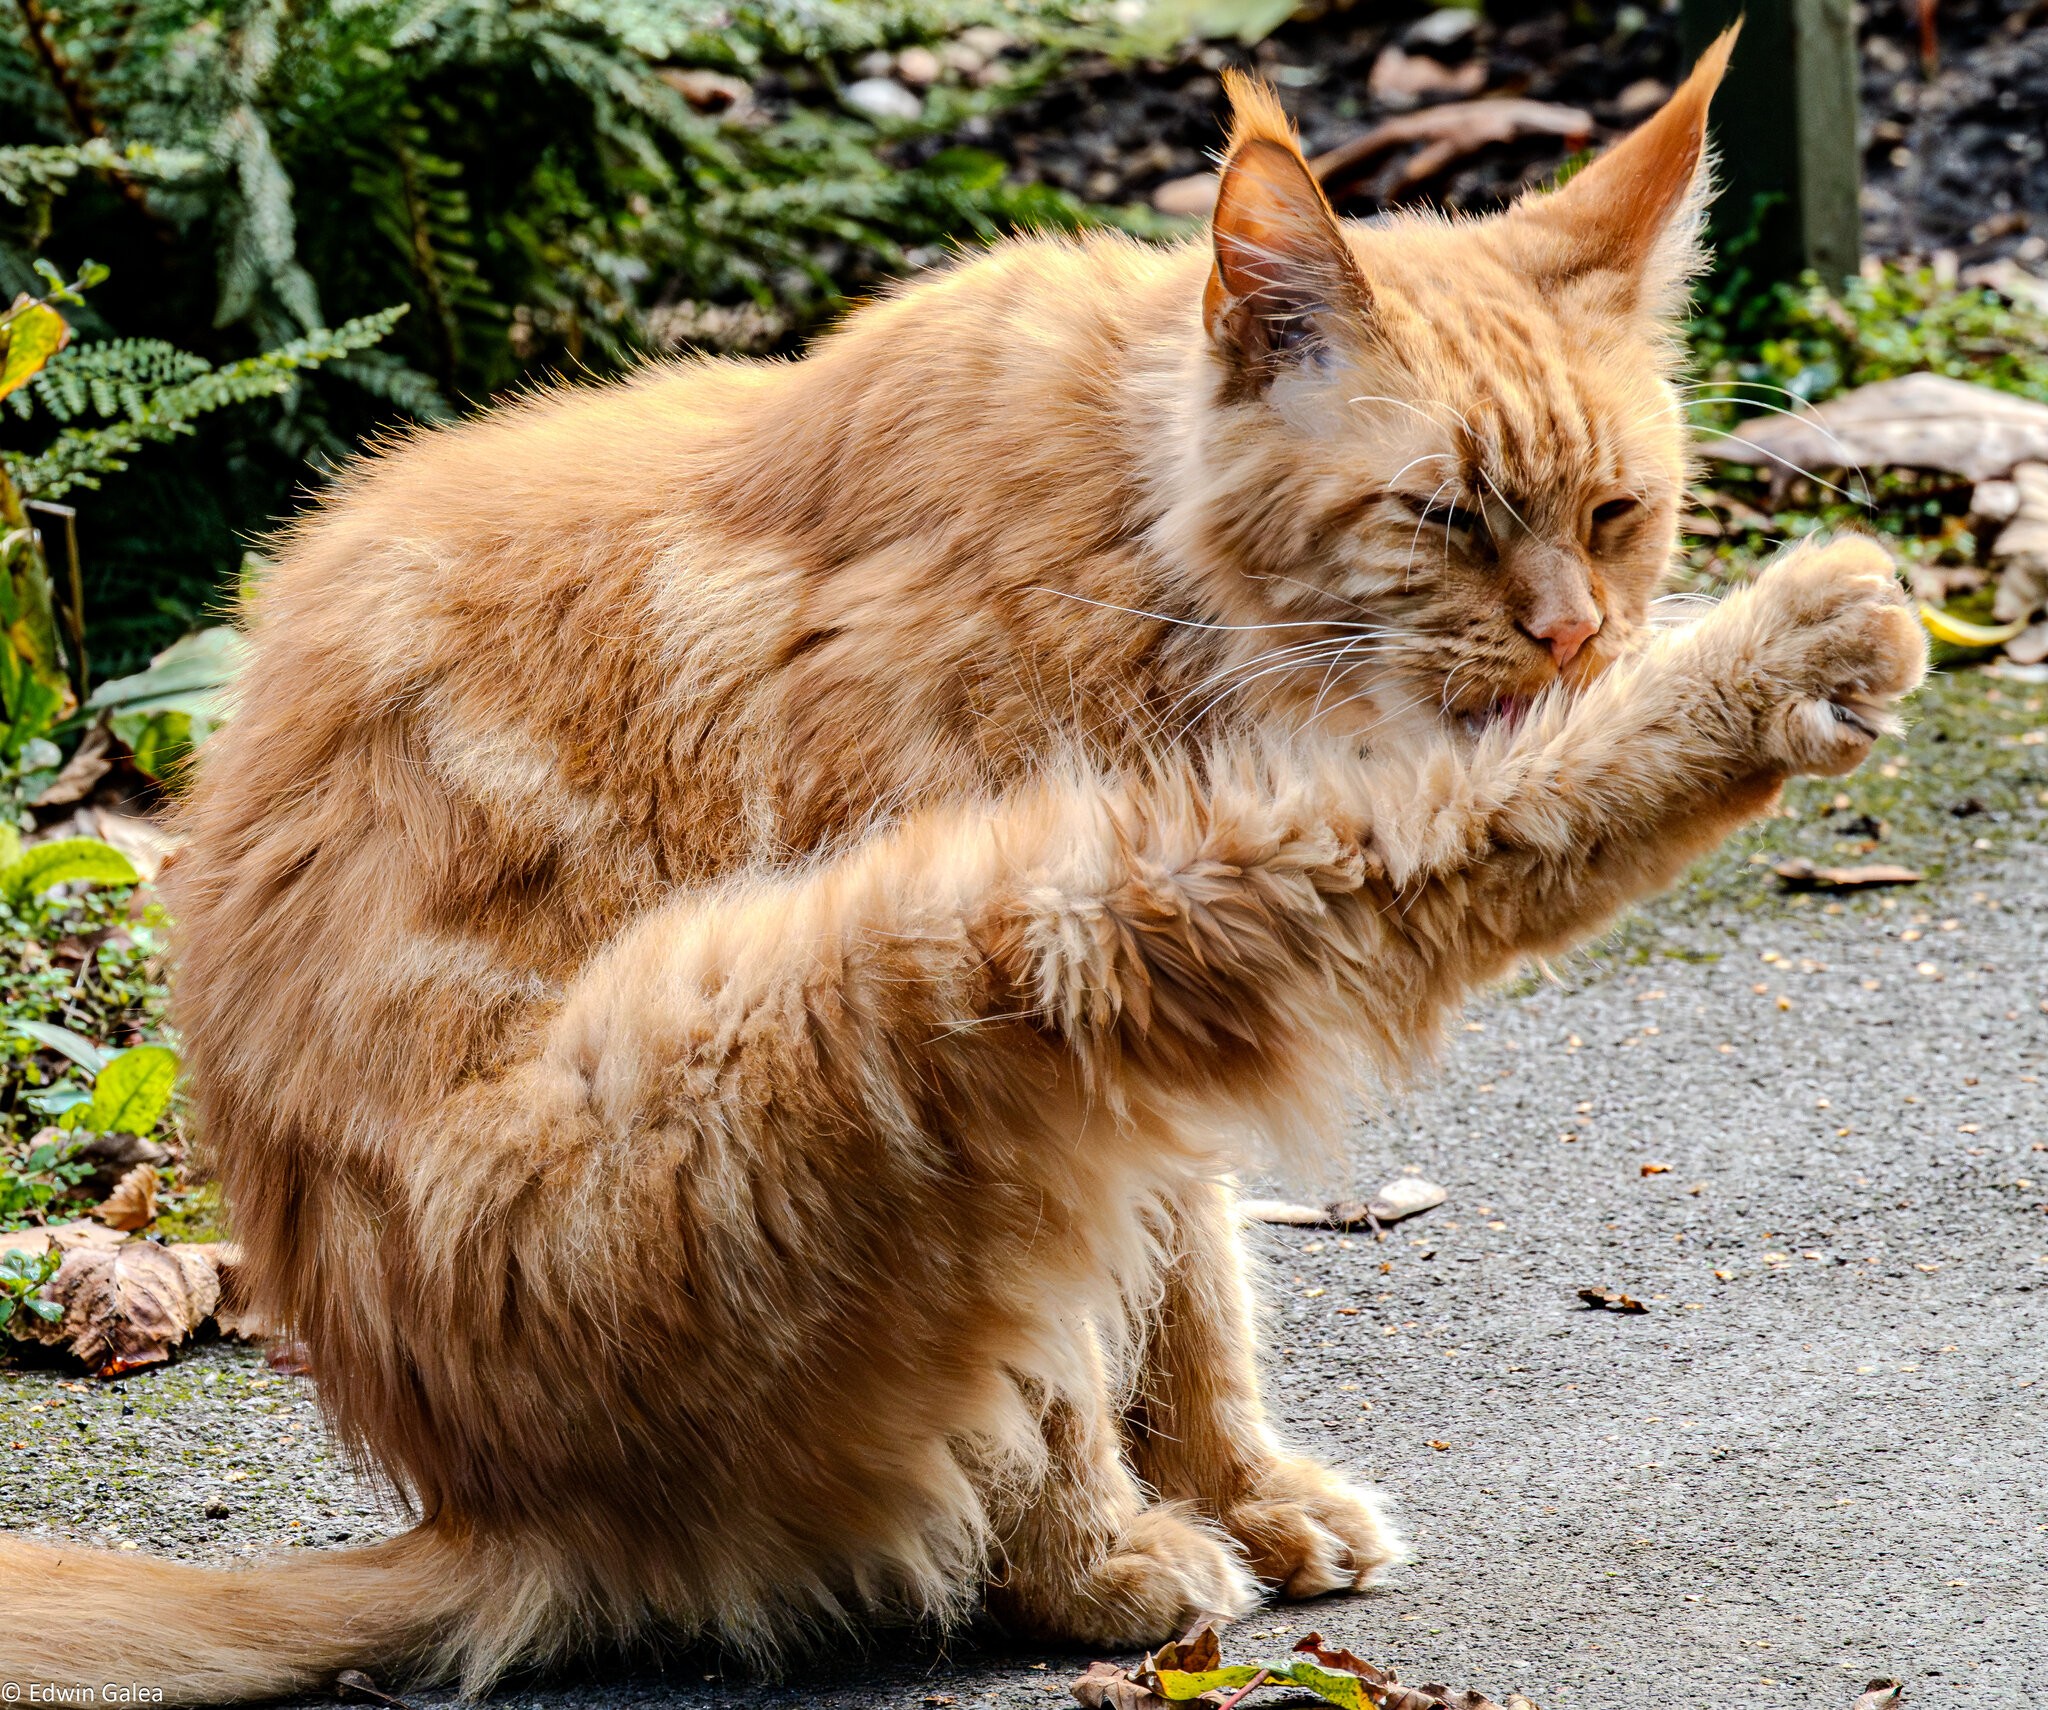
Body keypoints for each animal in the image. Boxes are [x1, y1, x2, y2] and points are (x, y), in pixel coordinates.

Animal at [4, 36, 1916, 1695]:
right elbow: (1093, 1355)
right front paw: (1124, 1550)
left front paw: (1246, 1491)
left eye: (1613, 514)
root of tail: (503, 1510)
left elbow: (1191, 1289)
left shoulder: (1141, 1058)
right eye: (1444, 518)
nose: (1579, 638)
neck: (1147, 553)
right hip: (930, 958)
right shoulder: (1094, 922)